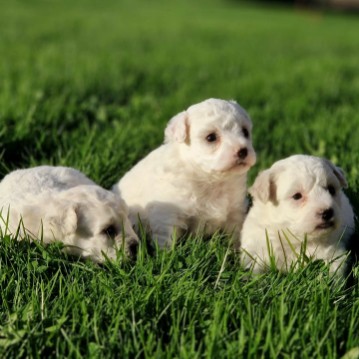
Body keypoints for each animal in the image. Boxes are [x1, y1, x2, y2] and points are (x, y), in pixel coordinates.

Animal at [114, 98, 258, 248]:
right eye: (211, 137)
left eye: (245, 132)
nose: (243, 151)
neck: (210, 178)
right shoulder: (168, 213)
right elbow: (166, 238)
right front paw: (165, 254)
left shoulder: (235, 210)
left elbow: (236, 234)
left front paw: (236, 251)